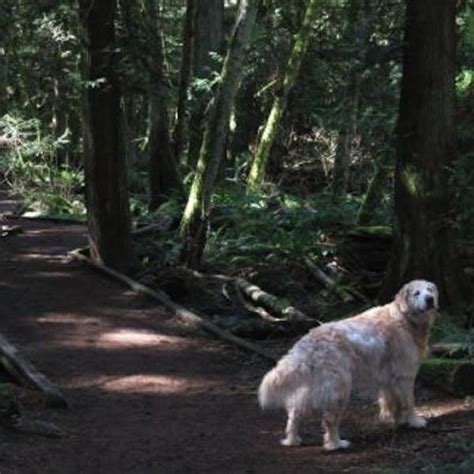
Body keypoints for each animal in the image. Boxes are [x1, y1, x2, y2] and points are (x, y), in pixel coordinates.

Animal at [258, 280, 438, 450]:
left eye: (430, 290)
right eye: (416, 293)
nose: (430, 299)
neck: (404, 316)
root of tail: (308, 342)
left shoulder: (388, 378)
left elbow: (392, 401)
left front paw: (395, 419)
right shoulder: (404, 374)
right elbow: (409, 401)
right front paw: (414, 421)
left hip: (313, 388)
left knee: (294, 412)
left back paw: (292, 440)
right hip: (339, 388)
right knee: (329, 420)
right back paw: (335, 444)